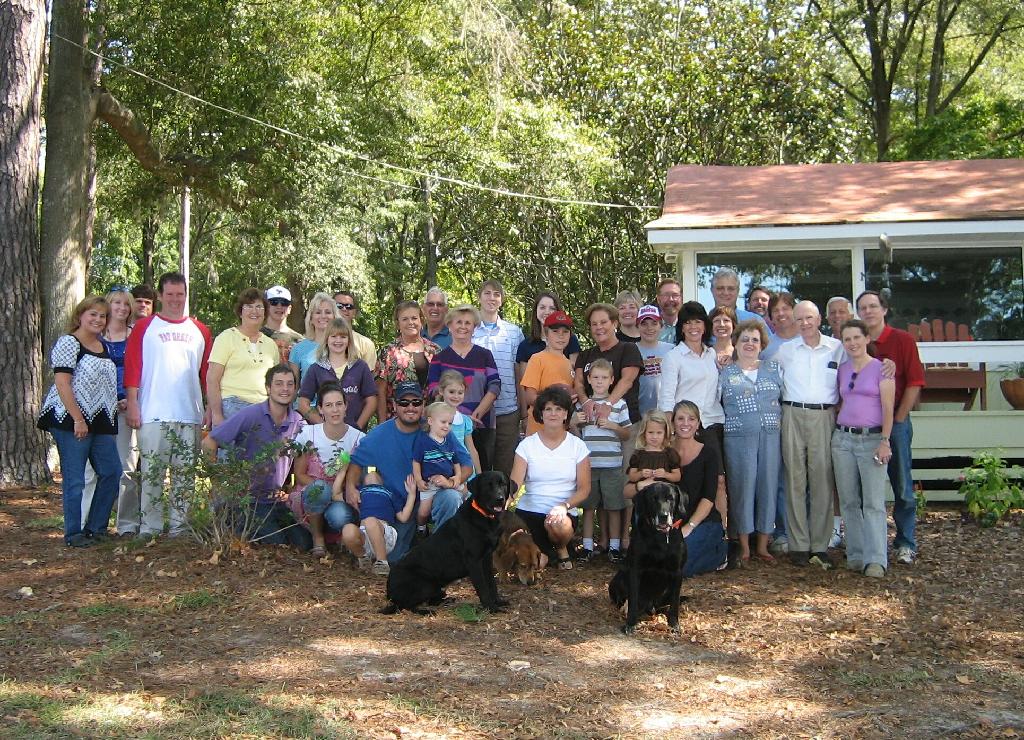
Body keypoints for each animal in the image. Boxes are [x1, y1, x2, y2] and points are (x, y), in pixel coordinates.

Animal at [382, 471, 510, 614]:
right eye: (488, 485)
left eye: (503, 484)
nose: (500, 499)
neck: (485, 516)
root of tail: (389, 592)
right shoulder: (474, 561)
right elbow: (482, 588)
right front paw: (491, 607)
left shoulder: (487, 558)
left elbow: (491, 583)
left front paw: (498, 601)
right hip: (426, 583)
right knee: (406, 606)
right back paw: (426, 611)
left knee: (430, 600)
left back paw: (447, 600)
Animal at [609, 482, 689, 634]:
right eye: (653, 499)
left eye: (670, 498)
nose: (663, 516)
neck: (660, 537)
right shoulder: (636, 569)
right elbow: (633, 600)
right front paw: (630, 624)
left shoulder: (677, 572)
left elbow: (675, 602)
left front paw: (674, 624)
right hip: (617, 580)